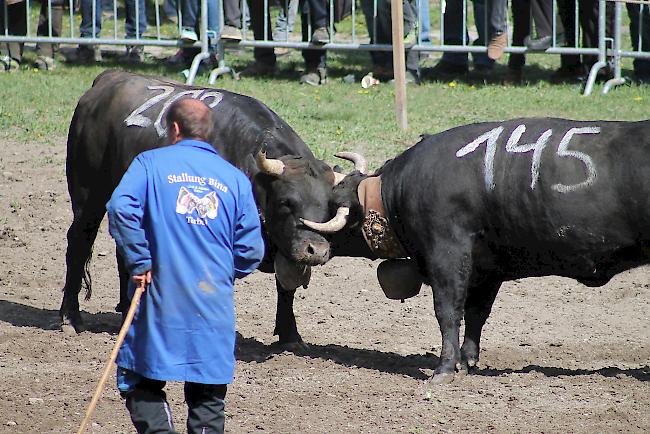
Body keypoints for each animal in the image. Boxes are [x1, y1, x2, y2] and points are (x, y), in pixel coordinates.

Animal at [58, 70, 350, 342]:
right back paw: (71, 317)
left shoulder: (287, 249)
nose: (316, 250)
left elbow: (286, 288)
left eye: (327, 206)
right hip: (88, 195)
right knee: (79, 242)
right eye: (286, 202)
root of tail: (108, 79)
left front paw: (290, 335)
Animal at [330, 118, 648, 384]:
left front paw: (445, 369)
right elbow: (476, 313)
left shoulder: (447, 254)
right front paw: (467, 361)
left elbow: (448, 311)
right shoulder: (488, 269)